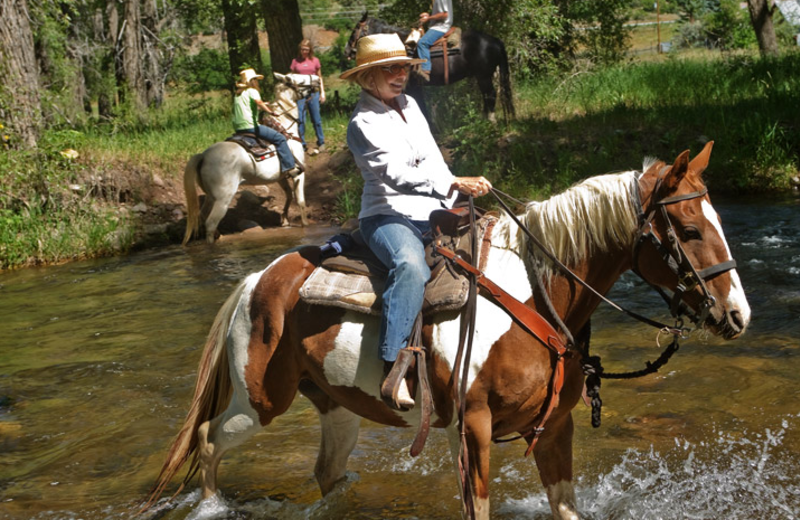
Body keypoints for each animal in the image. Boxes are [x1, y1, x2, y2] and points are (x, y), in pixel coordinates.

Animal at [148, 142, 752, 520]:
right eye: (690, 229)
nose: (737, 315)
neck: (532, 296)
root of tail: (257, 279)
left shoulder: (555, 426)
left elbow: (565, 505)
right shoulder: (472, 428)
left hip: (336, 405)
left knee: (327, 472)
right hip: (260, 400)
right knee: (209, 441)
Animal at [184, 72, 316, 245]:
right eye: (300, 79)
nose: (316, 78)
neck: (285, 127)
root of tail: (204, 156)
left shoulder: (281, 177)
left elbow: (288, 195)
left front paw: (285, 219)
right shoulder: (299, 174)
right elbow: (300, 201)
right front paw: (305, 225)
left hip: (210, 197)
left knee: (203, 215)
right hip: (223, 199)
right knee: (211, 223)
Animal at [346, 13, 516, 121]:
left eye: (355, 30)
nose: (347, 50)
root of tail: (494, 40)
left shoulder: (410, 86)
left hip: (484, 76)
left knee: (490, 95)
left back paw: (490, 122)